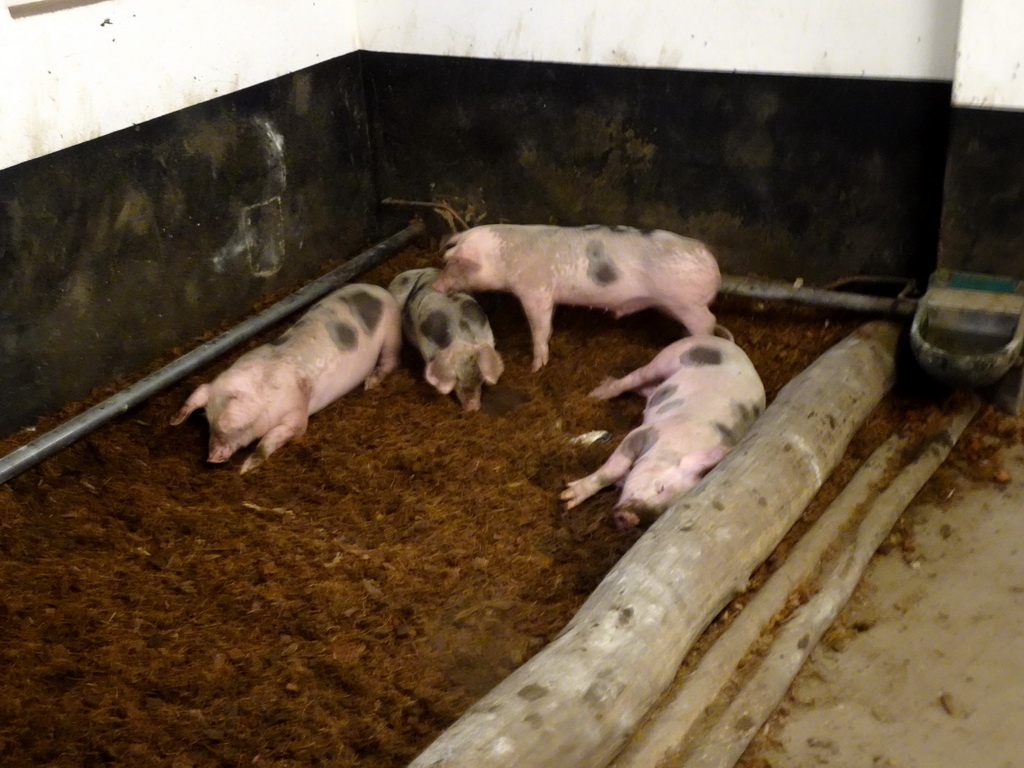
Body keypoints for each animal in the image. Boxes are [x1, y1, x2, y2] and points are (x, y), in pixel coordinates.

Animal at [169, 284, 401, 473]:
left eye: (236, 429)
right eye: (208, 424)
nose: (212, 459)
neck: (263, 388)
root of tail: (379, 289)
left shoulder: (297, 415)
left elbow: (271, 439)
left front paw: (245, 469)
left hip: (392, 331)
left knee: (390, 360)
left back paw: (370, 384)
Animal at [430, 224, 720, 370]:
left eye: (456, 263)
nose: (435, 286)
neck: (503, 256)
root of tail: (709, 257)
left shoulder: (535, 291)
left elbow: (538, 327)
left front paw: (536, 367)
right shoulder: (548, 296)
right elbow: (548, 324)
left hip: (688, 304)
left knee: (709, 321)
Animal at [561, 335, 770, 528]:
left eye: (663, 513)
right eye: (661, 487)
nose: (631, 518)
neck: (675, 448)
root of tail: (725, 341)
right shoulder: (643, 432)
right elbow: (612, 470)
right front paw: (567, 498)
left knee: (648, 389)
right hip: (667, 357)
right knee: (636, 377)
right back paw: (598, 393)